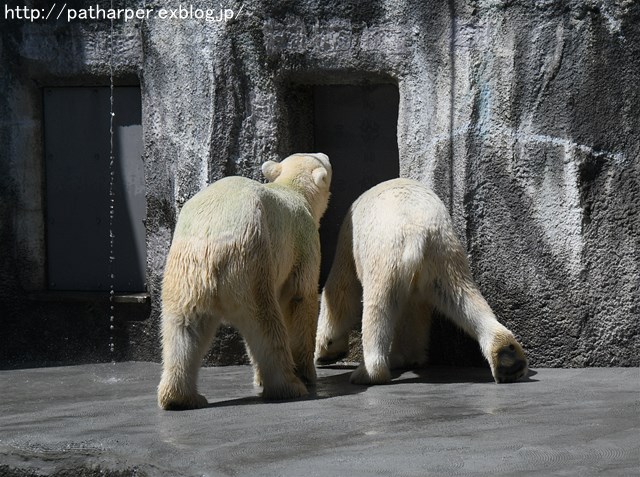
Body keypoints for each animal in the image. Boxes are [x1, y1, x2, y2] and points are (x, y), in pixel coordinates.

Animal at [158, 153, 332, 410]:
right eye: (322, 159)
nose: (325, 155)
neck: (292, 189)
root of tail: (211, 240)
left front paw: (260, 376)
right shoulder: (302, 240)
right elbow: (300, 297)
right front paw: (306, 372)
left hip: (185, 271)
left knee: (182, 328)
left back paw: (180, 398)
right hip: (249, 259)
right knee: (264, 320)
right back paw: (289, 386)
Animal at [316, 178, 528, 384]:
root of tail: (416, 233)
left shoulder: (348, 236)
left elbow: (341, 291)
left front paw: (325, 350)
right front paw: (409, 357)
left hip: (387, 254)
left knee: (378, 305)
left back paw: (368, 373)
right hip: (444, 256)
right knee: (462, 298)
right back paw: (507, 356)